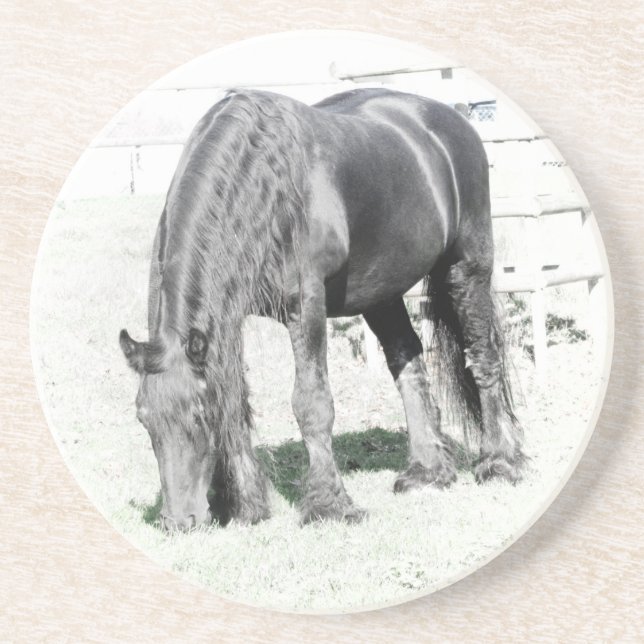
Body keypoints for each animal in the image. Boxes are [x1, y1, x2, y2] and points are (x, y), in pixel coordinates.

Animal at [119, 87, 525, 532]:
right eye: (144, 419)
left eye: (198, 417)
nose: (179, 521)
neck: (265, 182)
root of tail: (453, 120)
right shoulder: (228, 317)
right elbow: (236, 399)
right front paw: (244, 506)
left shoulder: (306, 307)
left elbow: (312, 403)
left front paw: (328, 505)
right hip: (382, 293)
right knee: (408, 363)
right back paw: (428, 471)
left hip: (467, 268)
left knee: (483, 358)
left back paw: (500, 462)